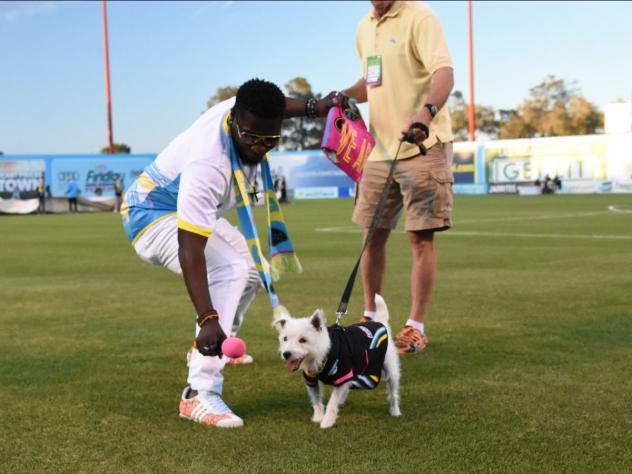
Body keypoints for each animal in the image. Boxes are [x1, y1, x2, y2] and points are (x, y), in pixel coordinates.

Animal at [274, 294, 402, 428]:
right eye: (285, 338)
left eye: (303, 340)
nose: (286, 354)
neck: (323, 353)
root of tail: (381, 322)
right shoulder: (311, 380)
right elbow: (316, 399)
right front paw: (318, 417)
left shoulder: (342, 375)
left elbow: (332, 402)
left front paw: (327, 422)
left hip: (391, 370)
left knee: (393, 392)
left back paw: (395, 411)